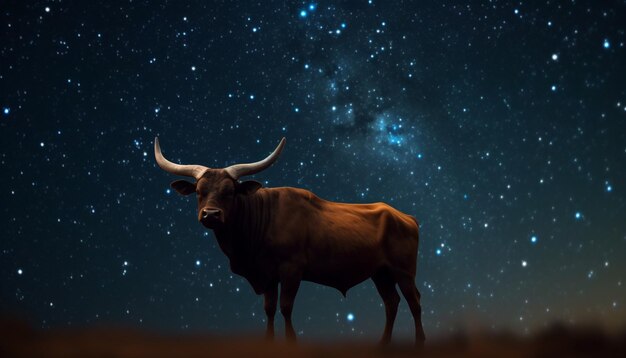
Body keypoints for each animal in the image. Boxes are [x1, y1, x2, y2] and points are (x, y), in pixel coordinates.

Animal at [153, 137, 424, 344]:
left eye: (230, 191)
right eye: (199, 192)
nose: (210, 214)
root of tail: (405, 216)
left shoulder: (291, 269)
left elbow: (285, 307)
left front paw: (292, 342)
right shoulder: (268, 275)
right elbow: (269, 309)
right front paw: (269, 342)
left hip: (404, 272)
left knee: (414, 302)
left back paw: (419, 342)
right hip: (381, 273)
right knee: (391, 302)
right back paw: (383, 344)